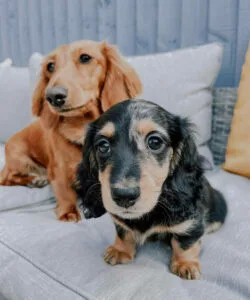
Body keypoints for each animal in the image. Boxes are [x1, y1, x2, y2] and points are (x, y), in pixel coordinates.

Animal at [0, 41, 143, 221]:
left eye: (85, 57)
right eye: (50, 66)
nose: (53, 96)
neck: (81, 130)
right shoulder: (58, 169)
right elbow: (64, 191)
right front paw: (68, 212)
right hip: (20, 160)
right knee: (8, 178)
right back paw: (34, 180)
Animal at [75, 99, 228, 280]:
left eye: (155, 142)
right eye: (103, 145)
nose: (124, 196)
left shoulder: (192, 222)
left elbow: (185, 242)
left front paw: (185, 264)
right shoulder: (121, 221)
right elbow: (123, 231)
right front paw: (120, 250)